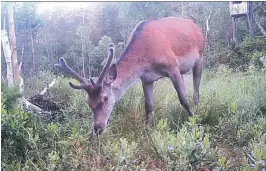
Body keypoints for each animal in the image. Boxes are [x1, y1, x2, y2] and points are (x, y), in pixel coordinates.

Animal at [53, 16, 204, 134]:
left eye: (105, 98)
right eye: (87, 102)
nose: (97, 128)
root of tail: (196, 25)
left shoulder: (172, 67)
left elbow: (184, 100)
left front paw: (194, 123)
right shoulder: (146, 79)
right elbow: (148, 106)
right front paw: (148, 130)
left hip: (200, 57)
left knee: (196, 91)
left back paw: (197, 112)